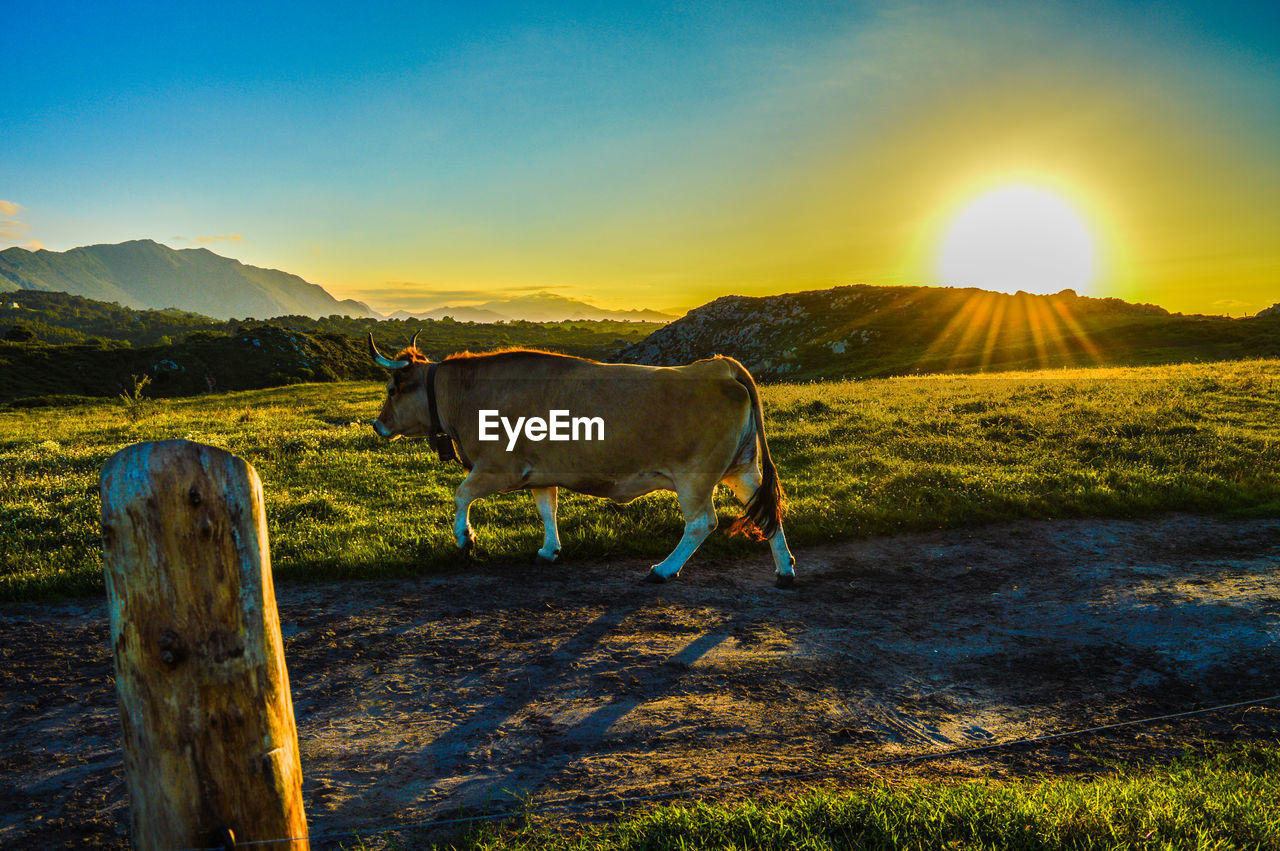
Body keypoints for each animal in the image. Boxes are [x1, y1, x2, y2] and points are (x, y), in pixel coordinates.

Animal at [366, 332, 793, 583]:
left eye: (391, 389)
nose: (377, 424)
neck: (466, 393)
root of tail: (718, 366)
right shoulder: (540, 473)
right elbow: (547, 509)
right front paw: (548, 550)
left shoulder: (498, 468)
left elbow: (460, 495)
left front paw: (465, 540)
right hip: (742, 468)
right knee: (766, 512)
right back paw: (784, 568)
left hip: (695, 476)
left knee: (702, 522)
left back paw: (665, 568)